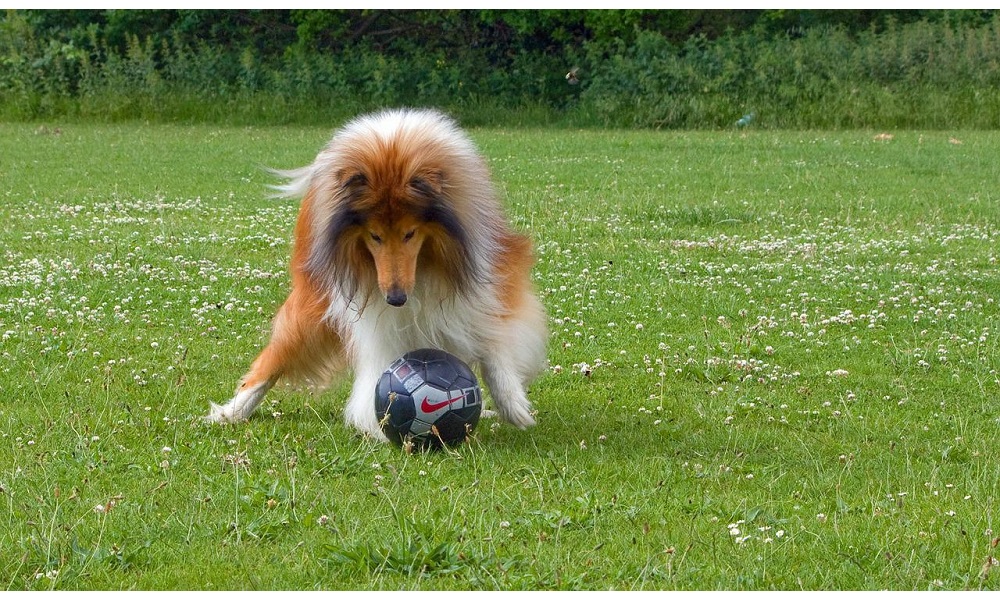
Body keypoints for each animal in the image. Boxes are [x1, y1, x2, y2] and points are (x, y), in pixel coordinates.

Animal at [205, 108, 548, 438]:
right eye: (374, 235)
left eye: (410, 233)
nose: (396, 298)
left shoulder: (489, 275)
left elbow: (492, 336)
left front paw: (511, 402)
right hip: (314, 299)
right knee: (276, 355)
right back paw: (234, 410)